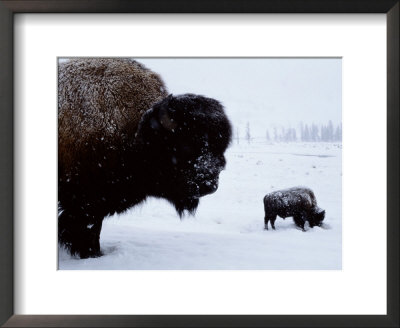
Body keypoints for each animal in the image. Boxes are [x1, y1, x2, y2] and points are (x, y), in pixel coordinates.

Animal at [57, 59, 231, 258]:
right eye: (186, 146)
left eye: (220, 146)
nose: (210, 184)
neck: (137, 132)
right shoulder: (85, 202)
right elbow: (87, 229)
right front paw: (91, 254)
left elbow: (95, 228)